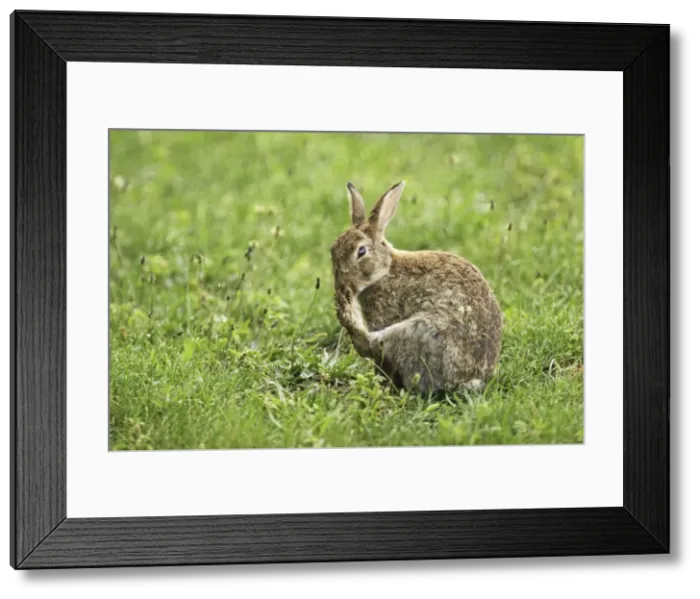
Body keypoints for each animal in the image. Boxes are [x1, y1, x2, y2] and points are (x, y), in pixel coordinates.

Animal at [331, 180, 503, 396]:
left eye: (361, 252)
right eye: (333, 250)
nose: (342, 284)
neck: (385, 269)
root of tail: (467, 379)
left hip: (418, 331)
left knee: (375, 345)